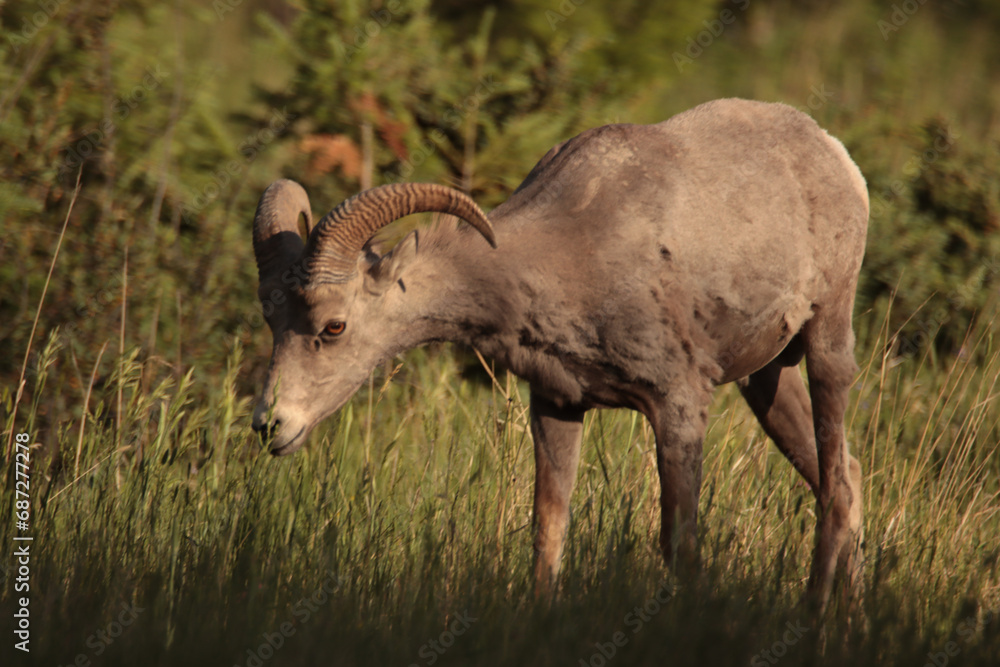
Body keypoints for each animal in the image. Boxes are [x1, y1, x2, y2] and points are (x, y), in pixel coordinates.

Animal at [250, 98, 868, 615]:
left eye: (333, 326)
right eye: (272, 321)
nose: (269, 425)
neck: (569, 253)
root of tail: (833, 153)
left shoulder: (679, 406)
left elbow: (679, 543)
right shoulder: (558, 406)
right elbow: (547, 531)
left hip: (827, 342)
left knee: (837, 488)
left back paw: (816, 616)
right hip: (767, 381)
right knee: (845, 478)